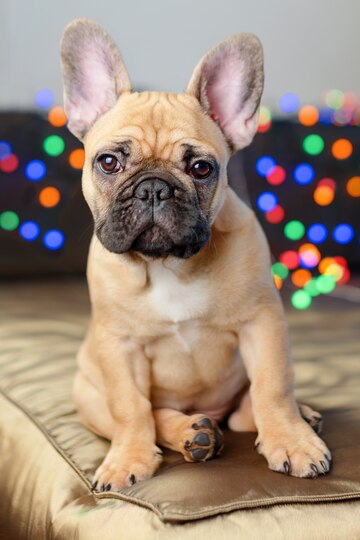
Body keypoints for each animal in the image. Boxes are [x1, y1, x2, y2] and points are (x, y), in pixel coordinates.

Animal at [59, 19, 332, 492]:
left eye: (202, 168)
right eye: (109, 162)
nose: (153, 188)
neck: (168, 265)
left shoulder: (263, 322)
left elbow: (273, 385)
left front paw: (291, 441)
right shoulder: (118, 347)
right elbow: (130, 407)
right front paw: (129, 457)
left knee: (245, 409)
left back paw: (299, 417)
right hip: (87, 395)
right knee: (150, 415)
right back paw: (193, 432)